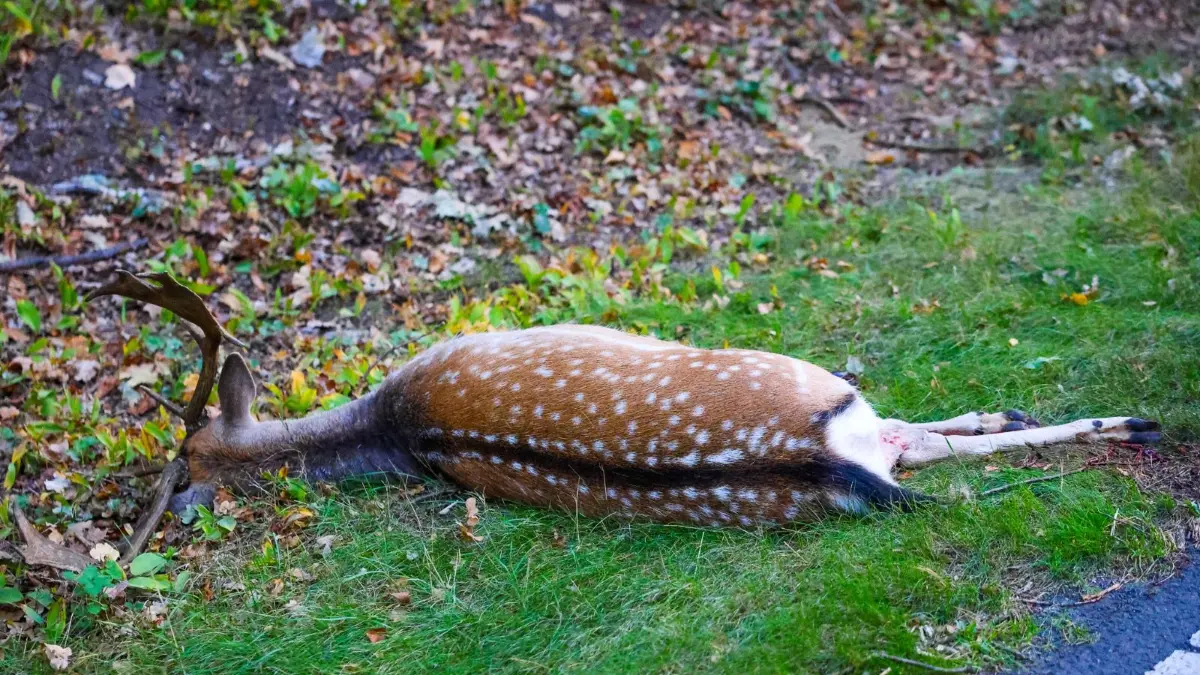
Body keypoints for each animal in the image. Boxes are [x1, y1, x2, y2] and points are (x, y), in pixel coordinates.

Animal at [12, 270, 1162, 571]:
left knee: (913, 448)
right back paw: (1128, 422)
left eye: (179, 460)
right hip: (820, 386)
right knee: (915, 440)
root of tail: (816, 461)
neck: (388, 422)